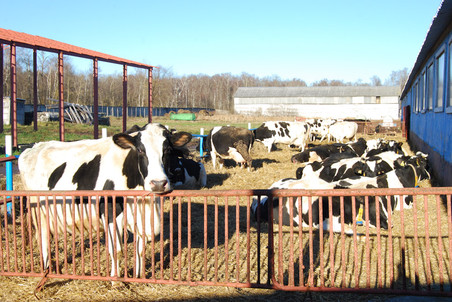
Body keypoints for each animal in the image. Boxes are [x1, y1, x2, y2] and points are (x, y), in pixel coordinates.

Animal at [18, 123, 192, 278]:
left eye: (168, 150)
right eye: (140, 150)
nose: (158, 183)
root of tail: (35, 146)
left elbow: (141, 249)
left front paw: (138, 276)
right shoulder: (108, 212)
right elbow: (117, 249)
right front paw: (116, 279)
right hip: (37, 209)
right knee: (43, 236)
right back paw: (46, 268)